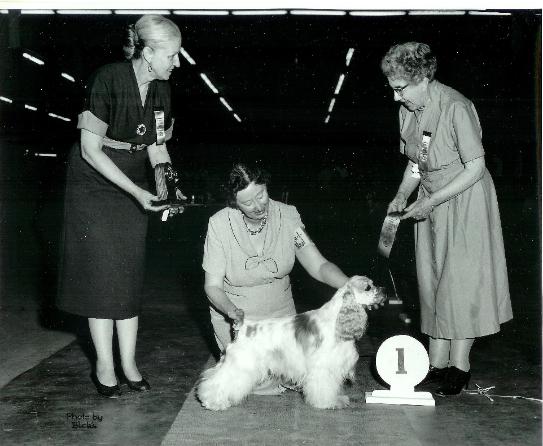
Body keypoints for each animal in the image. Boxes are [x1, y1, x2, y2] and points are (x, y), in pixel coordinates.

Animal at [196, 275, 386, 410]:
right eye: (368, 287)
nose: (384, 289)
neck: (337, 319)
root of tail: (245, 326)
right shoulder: (323, 367)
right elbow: (324, 387)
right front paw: (328, 403)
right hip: (241, 364)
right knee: (217, 380)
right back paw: (212, 402)